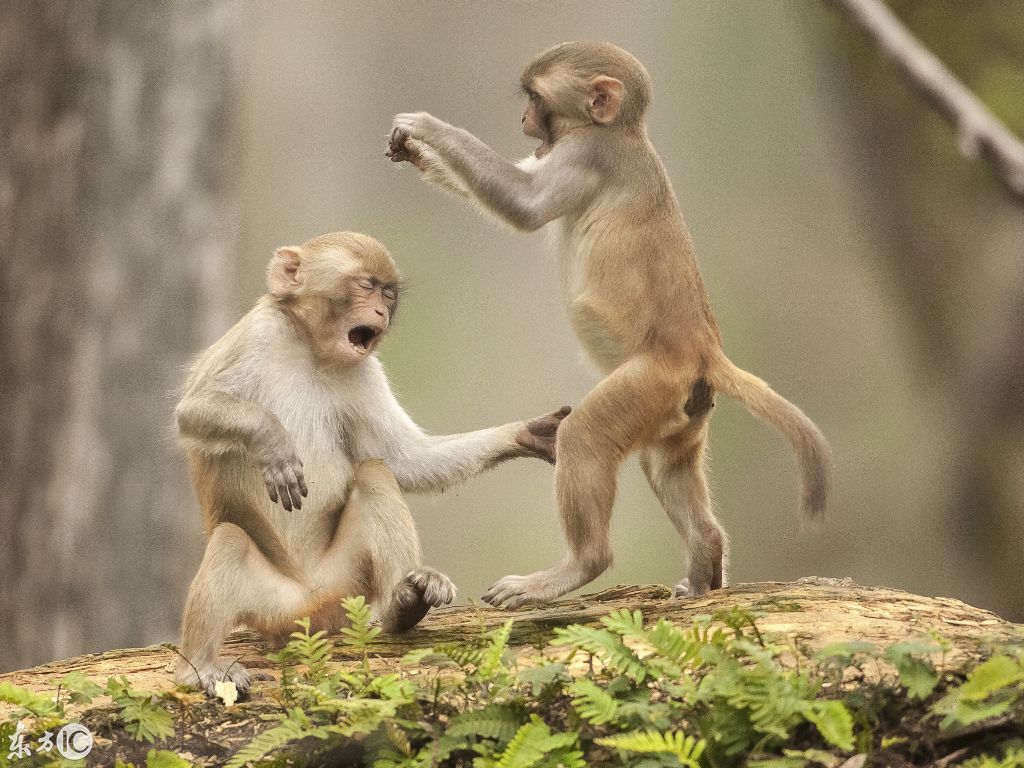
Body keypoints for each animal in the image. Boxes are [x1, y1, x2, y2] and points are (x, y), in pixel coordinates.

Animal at [177, 231, 573, 696]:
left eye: (388, 294)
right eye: (366, 285)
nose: (382, 311)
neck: (312, 349)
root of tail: (310, 605)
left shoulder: (365, 371)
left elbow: (405, 460)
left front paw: (528, 434)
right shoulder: (258, 334)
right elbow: (192, 412)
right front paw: (273, 443)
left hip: (348, 584)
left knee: (373, 474)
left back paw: (404, 603)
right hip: (270, 604)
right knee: (231, 540)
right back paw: (199, 669)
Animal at [387, 41, 827, 610]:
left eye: (536, 98)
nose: (524, 120)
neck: (622, 132)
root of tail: (703, 349)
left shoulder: (587, 154)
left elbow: (525, 205)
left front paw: (427, 129)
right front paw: (416, 151)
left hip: (648, 383)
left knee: (584, 439)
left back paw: (576, 568)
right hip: (682, 408)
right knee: (666, 465)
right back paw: (703, 565)